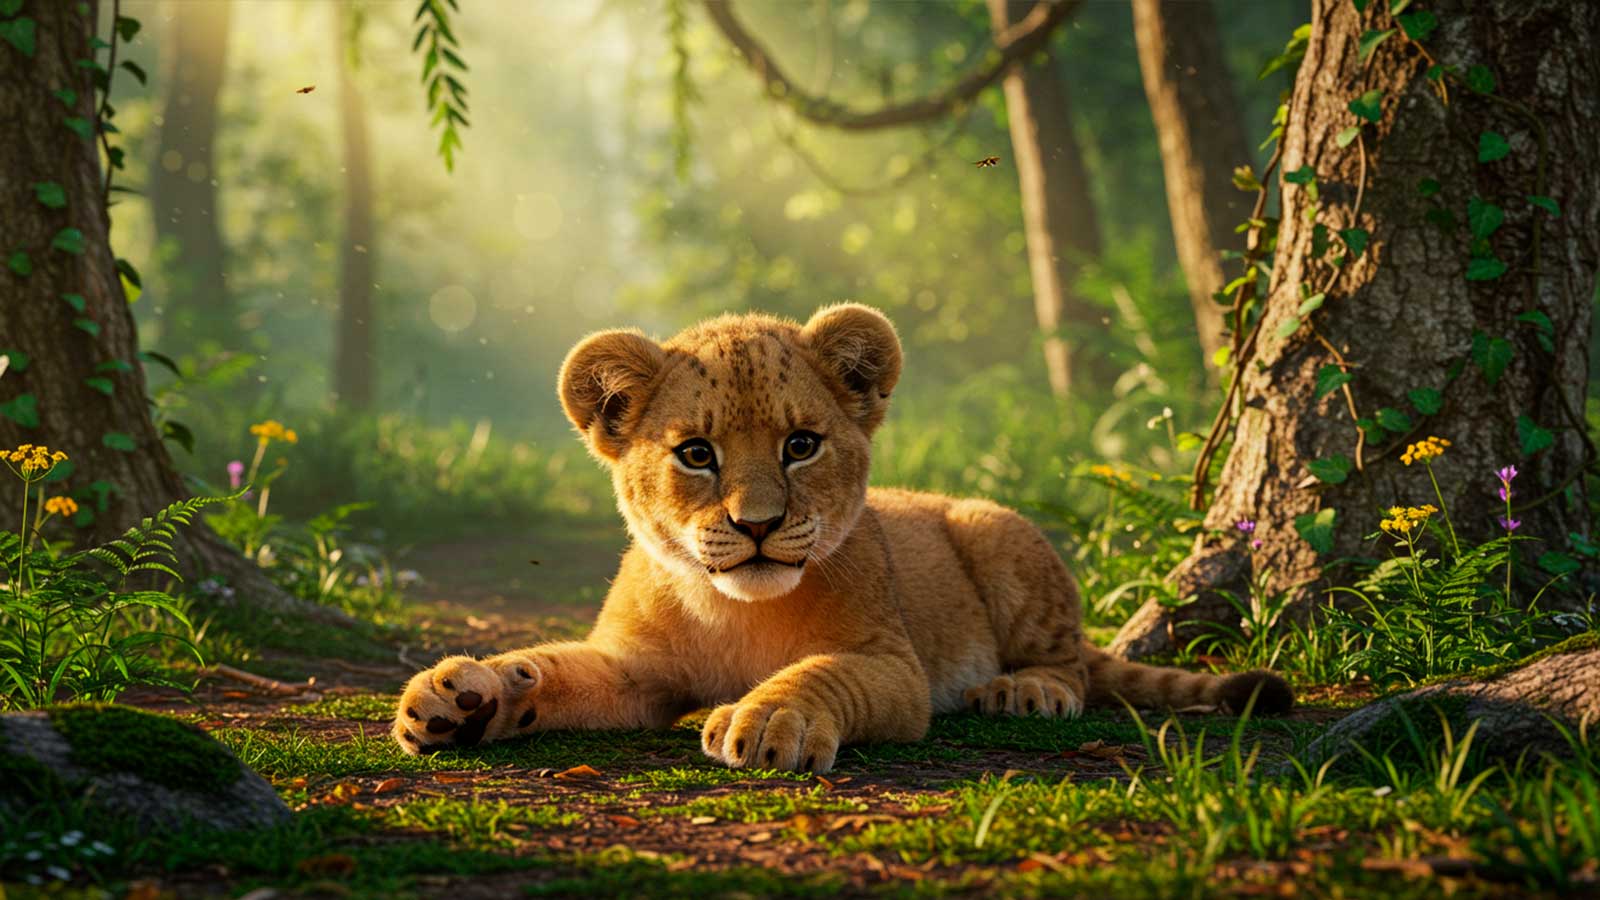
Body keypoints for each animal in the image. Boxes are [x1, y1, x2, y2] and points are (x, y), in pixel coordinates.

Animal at [392, 304, 1291, 771]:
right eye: (696, 454)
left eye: (801, 445)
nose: (757, 525)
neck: (733, 608)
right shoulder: (633, 668)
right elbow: (549, 667)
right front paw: (459, 697)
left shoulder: (892, 666)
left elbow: (822, 673)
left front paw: (769, 719)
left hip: (995, 531)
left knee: (1073, 659)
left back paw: (1026, 690)